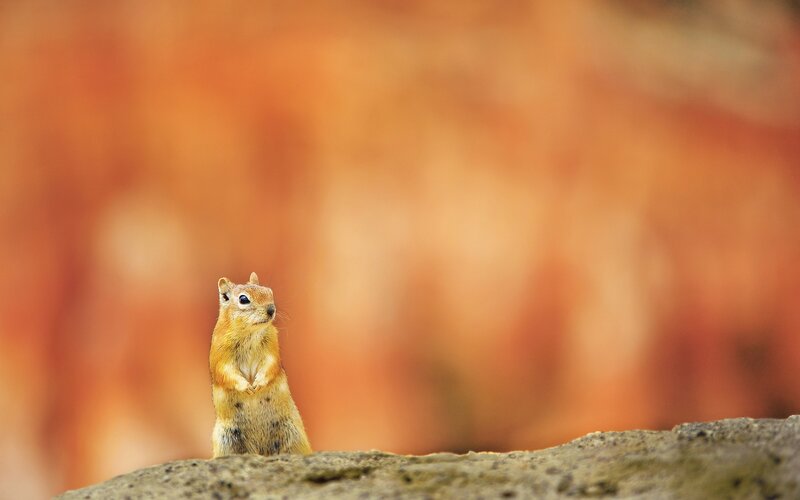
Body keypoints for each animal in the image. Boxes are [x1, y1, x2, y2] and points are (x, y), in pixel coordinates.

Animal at [209, 272, 311, 457]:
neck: (250, 333)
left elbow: (270, 365)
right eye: (243, 299)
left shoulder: (272, 348)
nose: (271, 309)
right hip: (226, 440)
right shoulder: (220, 355)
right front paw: (247, 387)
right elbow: (226, 372)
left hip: (294, 434)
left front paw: (258, 384)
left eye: (269, 291)